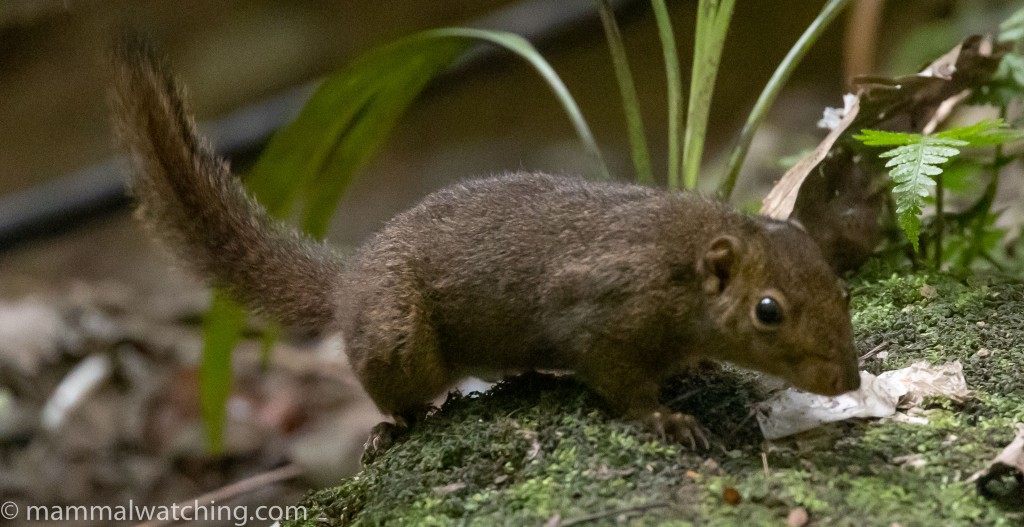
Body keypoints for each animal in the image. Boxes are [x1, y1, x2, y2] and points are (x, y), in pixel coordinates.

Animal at [110, 37, 860, 449]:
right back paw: (394, 426)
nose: (848, 381)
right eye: (768, 311)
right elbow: (617, 379)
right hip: (398, 336)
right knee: (393, 392)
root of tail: (351, 282)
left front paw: (698, 368)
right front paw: (665, 417)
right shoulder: (600, 311)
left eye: (839, 287)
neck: (682, 258)